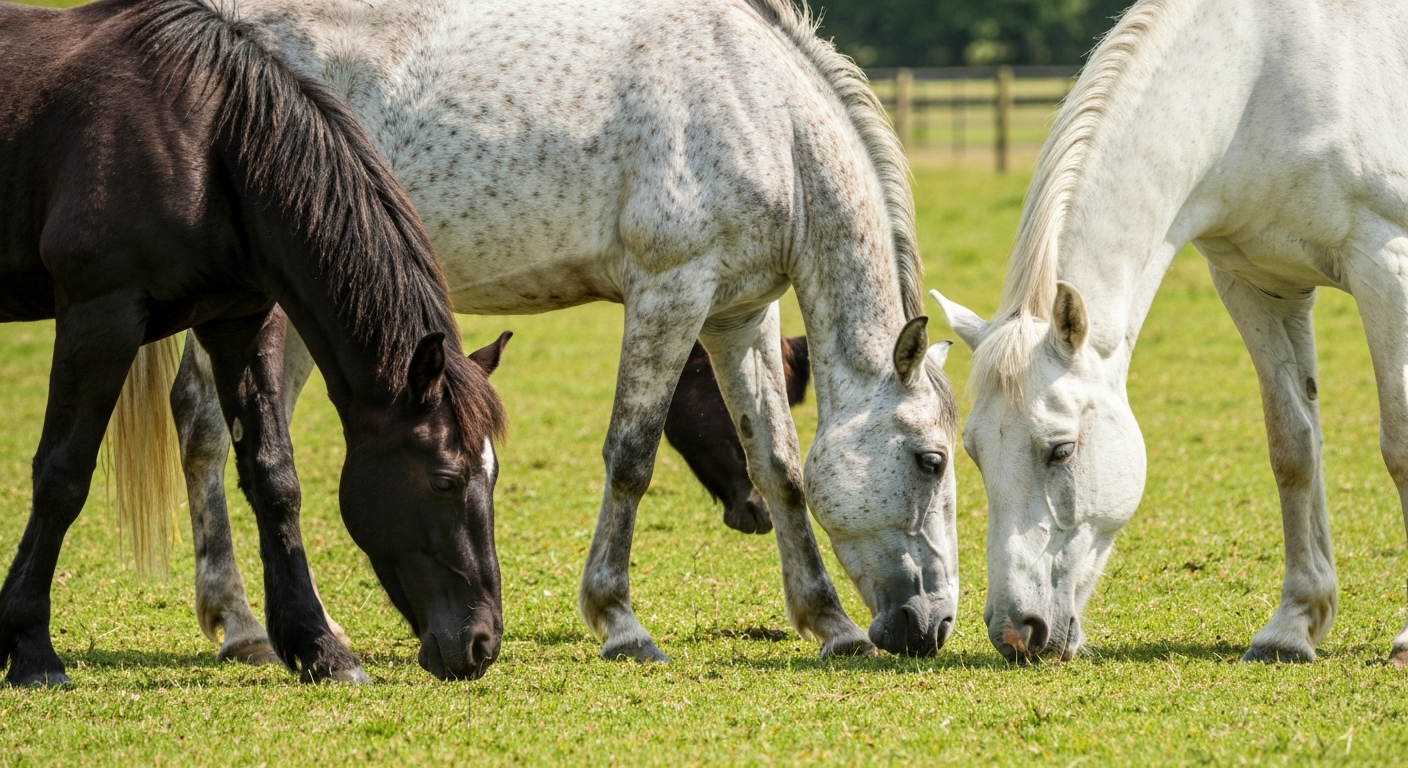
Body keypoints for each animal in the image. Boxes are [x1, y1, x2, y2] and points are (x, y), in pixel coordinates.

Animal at [0, 0, 511, 685]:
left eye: (492, 475)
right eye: (445, 481)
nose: (482, 644)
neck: (205, 145)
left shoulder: (241, 324)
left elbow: (274, 478)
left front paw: (319, 648)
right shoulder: (98, 317)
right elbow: (61, 476)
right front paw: (30, 646)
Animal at [934, 0, 1408, 666]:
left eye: (1061, 450)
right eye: (973, 452)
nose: (1015, 632)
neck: (1259, 74)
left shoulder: (1385, 265)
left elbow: (1400, 446)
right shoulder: (1257, 286)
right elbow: (1293, 448)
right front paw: (1292, 626)